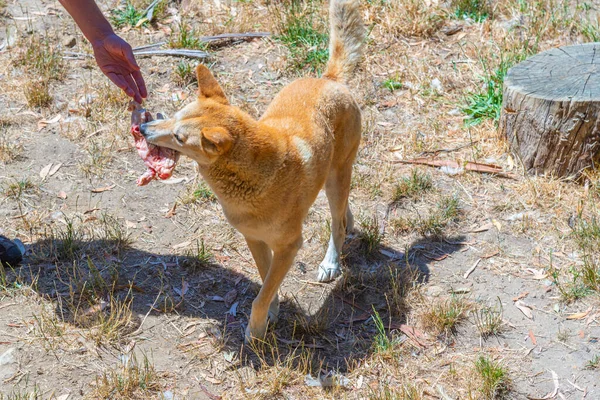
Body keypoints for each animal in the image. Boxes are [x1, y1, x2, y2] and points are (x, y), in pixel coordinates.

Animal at [141, 0, 366, 340]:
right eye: (174, 114)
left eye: (180, 137)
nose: (142, 128)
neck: (251, 182)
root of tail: (329, 80)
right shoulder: (254, 239)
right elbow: (265, 282)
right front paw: (271, 313)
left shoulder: (289, 246)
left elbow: (263, 292)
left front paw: (256, 329)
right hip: (332, 177)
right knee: (342, 213)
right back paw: (348, 221)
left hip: (337, 176)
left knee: (336, 224)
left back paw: (331, 261)